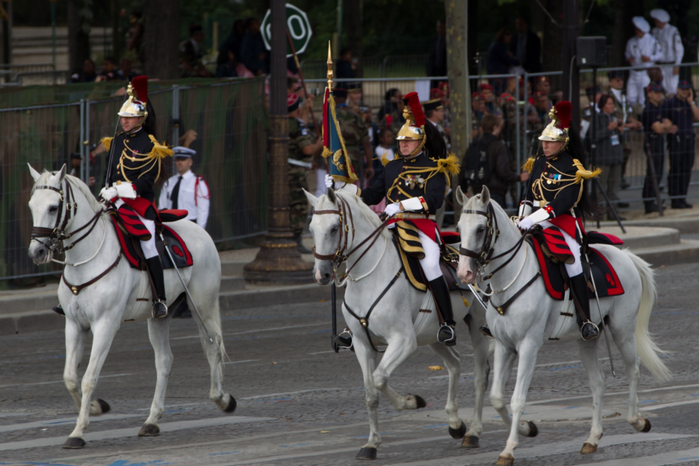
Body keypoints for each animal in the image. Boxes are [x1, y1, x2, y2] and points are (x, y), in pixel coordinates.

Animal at [27, 166, 237, 450]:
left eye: (52, 207)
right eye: (31, 206)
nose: (36, 252)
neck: (88, 258)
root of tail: (199, 230)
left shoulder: (105, 325)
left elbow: (89, 377)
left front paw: (78, 432)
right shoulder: (74, 324)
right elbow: (70, 377)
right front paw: (95, 407)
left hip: (202, 304)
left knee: (213, 344)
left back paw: (222, 399)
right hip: (160, 315)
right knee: (164, 360)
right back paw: (152, 420)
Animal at [304, 187, 536, 460]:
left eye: (333, 228)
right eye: (311, 228)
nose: (322, 275)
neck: (371, 276)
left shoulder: (403, 340)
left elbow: (380, 378)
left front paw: (411, 401)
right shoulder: (362, 344)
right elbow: (371, 393)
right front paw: (371, 444)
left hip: (476, 327)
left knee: (480, 376)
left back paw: (473, 432)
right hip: (433, 334)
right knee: (454, 363)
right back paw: (456, 423)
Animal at [456, 187, 676, 466]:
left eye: (481, 229)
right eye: (459, 227)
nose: (464, 273)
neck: (512, 276)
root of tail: (625, 255)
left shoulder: (528, 346)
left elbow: (518, 398)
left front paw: (508, 449)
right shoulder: (505, 346)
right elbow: (496, 398)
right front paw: (527, 428)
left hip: (622, 330)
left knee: (633, 369)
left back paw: (637, 420)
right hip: (587, 339)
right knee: (598, 382)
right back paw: (592, 438)